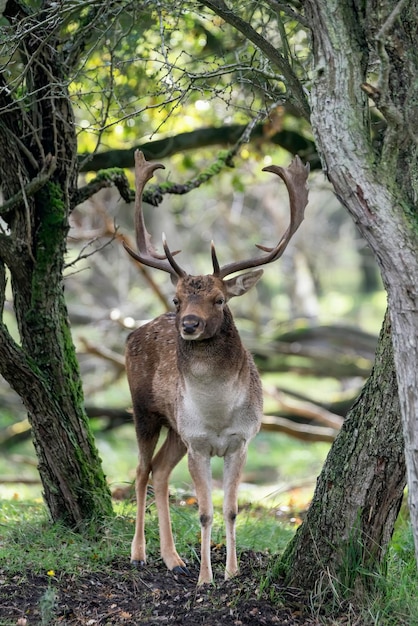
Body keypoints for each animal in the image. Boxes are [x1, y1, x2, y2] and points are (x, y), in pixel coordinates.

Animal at [122, 149, 308, 584]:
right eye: (176, 299)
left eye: (220, 299)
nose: (189, 324)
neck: (219, 414)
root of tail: (131, 334)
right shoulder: (199, 443)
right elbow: (205, 513)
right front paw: (206, 578)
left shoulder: (241, 441)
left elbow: (231, 509)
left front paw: (231, 572)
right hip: (144, 411)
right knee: (141, 471)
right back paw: (140, 554)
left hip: (176, 429)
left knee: (159, 472)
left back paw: (173, 558)